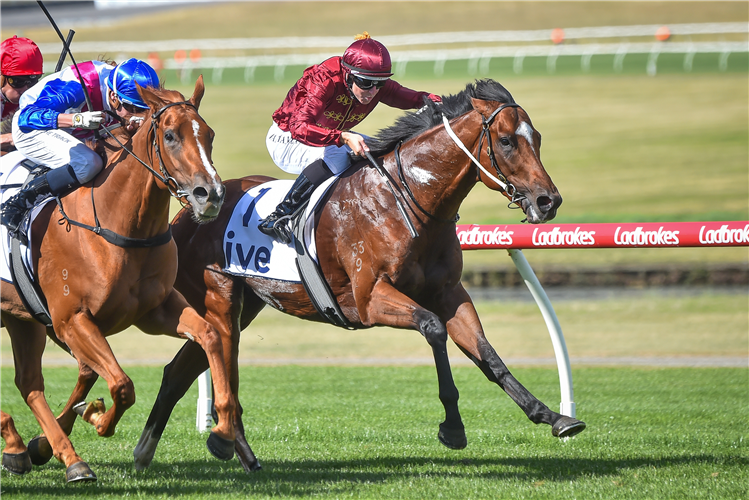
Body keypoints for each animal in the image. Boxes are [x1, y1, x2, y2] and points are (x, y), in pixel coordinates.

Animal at [0, 76, 234, 482]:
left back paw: (38, 450)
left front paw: (221, 431)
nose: (212, 195)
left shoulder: (155, 310)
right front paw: (95, 418)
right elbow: (122, 385)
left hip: (21, 318)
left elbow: (210, 336)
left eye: (209, 134)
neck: (118, 224)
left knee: (29, 383)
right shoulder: (71, 319)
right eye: (170, 135)